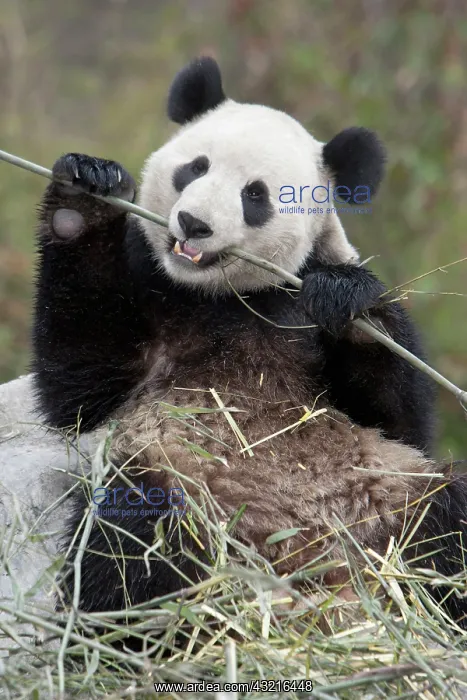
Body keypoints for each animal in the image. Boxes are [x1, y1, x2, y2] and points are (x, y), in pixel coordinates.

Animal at [33, 56, 467, 626]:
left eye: (254, 195)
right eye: (194, 168)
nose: (193, 223)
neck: (223, 297)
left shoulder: (300, 297)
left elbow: (400, 418)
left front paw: (345, 301)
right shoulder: (150, 291)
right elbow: (81, 386)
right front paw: (84, 194)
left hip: (391, 494)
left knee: (447, 525)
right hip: (177, 482)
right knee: (132, 542)